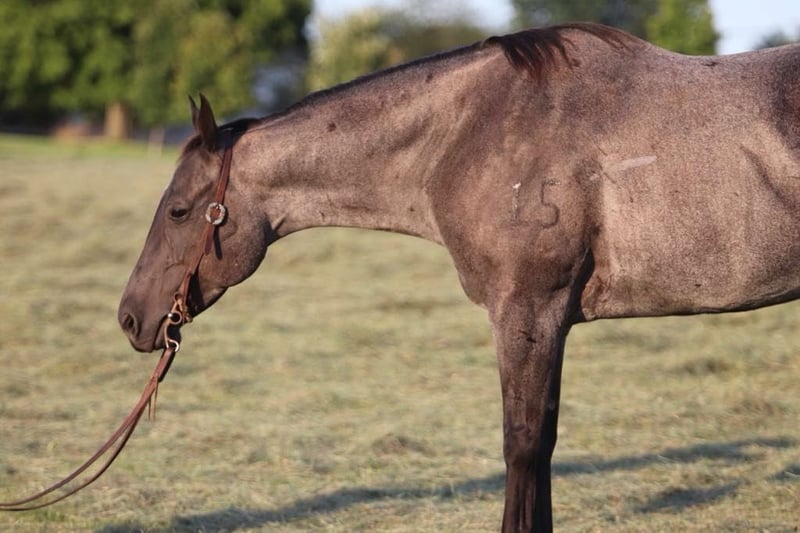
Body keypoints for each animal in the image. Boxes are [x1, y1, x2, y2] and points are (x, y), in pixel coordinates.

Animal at [117, 23, 800, 532]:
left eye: (179, 211)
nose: (131, 317)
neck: (472, 131)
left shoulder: (529, 312)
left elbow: (524, 446)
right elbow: (538, 446)